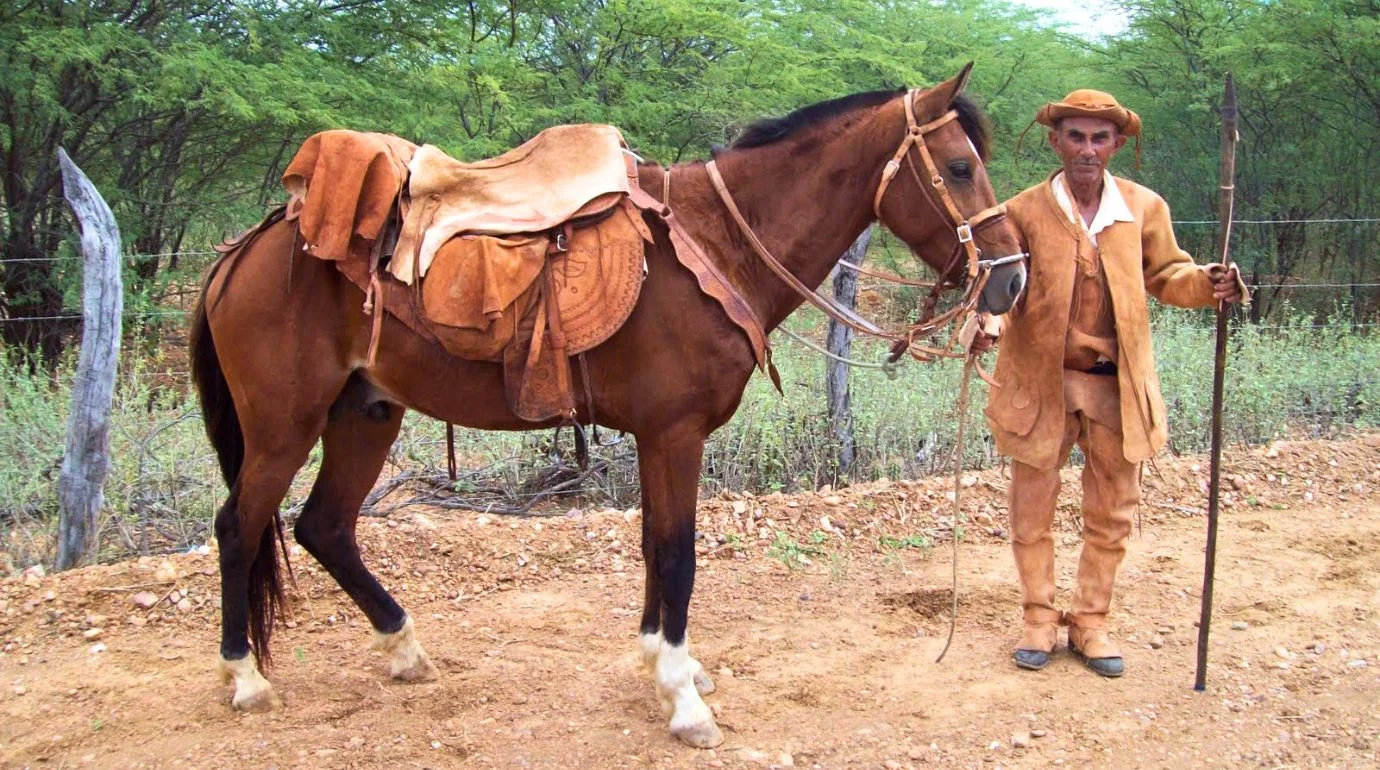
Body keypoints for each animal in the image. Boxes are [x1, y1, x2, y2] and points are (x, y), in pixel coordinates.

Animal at [190, 64, 1027, 748]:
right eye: (960, 167)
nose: (1013, 279)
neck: (713, 247)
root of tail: (246, 248)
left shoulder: (659, 437)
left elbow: (655, 547)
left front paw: (665, 664)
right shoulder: (675, 434)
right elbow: (678, 554)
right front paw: (685, 703)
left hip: (363, 415)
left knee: (324, 527)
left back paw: (404, 649)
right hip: (284, 425)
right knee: (239, 526)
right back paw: (246, 678)